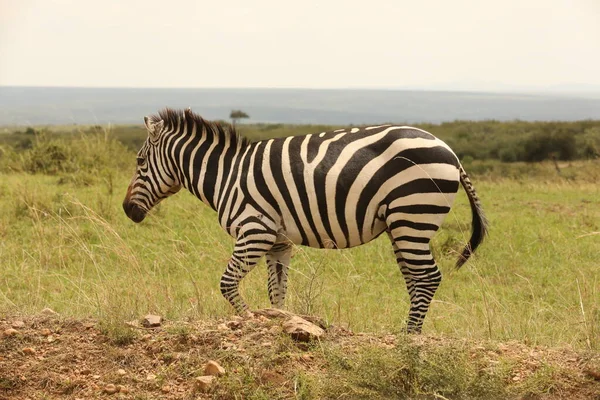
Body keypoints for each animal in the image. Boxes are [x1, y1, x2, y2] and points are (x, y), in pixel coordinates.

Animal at [123, 108, 488, 332]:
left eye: (140, 161)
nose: (127, 210)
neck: (227, 175)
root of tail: (451, 153)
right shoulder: (277, 241)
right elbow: (277, 292)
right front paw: (281, 324)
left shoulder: (254, 231)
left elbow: (227, 284)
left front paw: (251, 320)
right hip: (403, 226)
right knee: (415, 279)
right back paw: (409, 330)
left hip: (413, 215)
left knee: (427, 278)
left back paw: (409, 338)